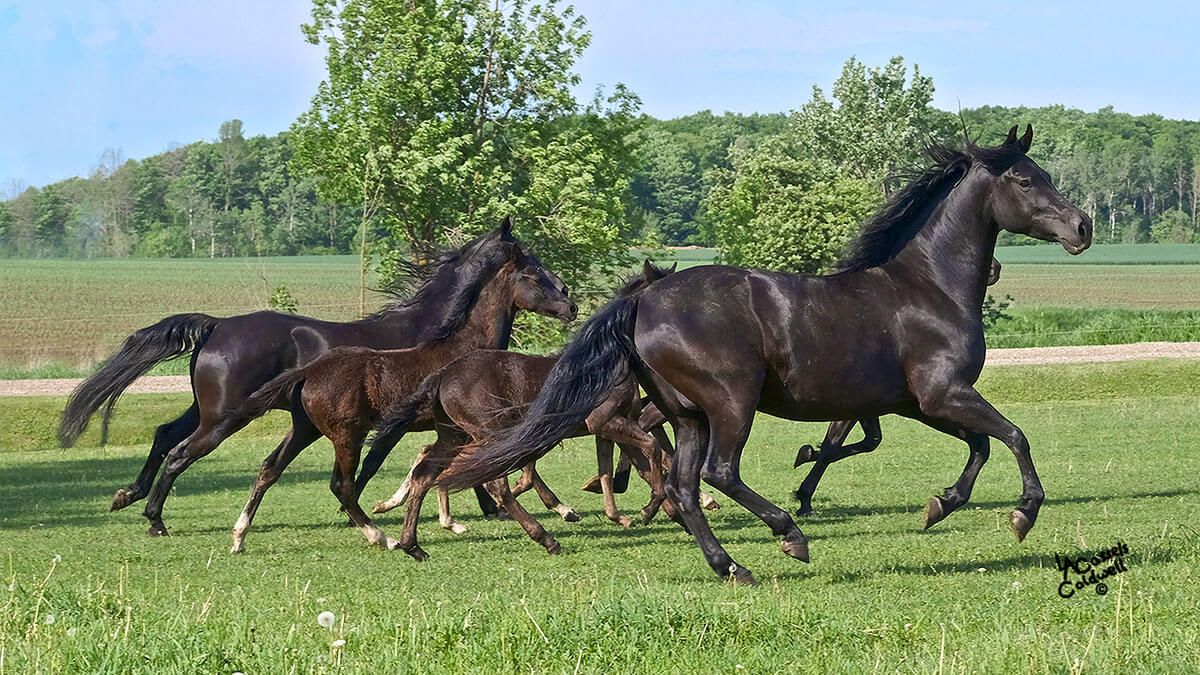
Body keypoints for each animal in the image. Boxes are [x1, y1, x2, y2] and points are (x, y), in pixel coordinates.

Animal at [59, 218, 575, 536]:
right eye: (533, 268)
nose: (570, 302)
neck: (441, 333)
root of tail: (218, 325)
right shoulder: (398, 424)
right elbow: (377, 465)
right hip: (224, 418)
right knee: (180, 452)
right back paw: (155, 518)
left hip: (210, 410)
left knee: (166, 434)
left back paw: (128, 497)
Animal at [361, 262, 678, 559]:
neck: (605, 361)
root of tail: (442, 375)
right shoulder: (607, 421)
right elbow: (651, 450)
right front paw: (652, 508)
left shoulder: (608, 427)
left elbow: (613, 471)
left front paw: (634, 514)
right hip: (490, 434)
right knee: (493, 483)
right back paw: (545, 538)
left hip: (454, 435)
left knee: (425, 474)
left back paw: (412, 544)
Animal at [434, 126, 1092, 584]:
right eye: (1026, 180)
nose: (1082, 227)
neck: (927, 287)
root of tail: (644, 299)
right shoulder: (943, 393)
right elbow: (1014, 437)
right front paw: (1023, 515)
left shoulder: (921, 403)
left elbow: (981, 445)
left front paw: (939, 506)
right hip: (731, 402)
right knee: (717, 473)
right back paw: (789, 535)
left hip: (687, 415)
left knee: (683, 485)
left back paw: (731, 566)